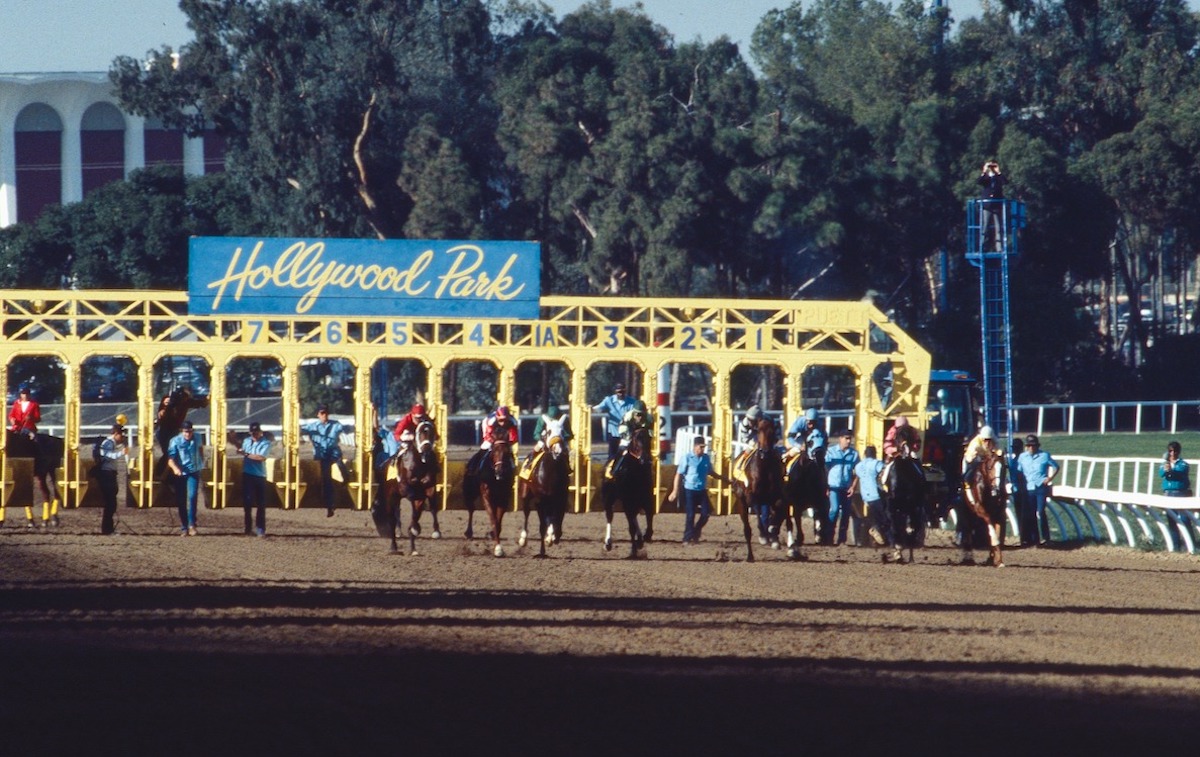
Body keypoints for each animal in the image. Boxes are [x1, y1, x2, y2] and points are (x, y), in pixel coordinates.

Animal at [372, 419, 444, 556]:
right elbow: (412, 493)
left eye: (432, 431)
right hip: (391, 497)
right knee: (392, 520)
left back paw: (413, 548)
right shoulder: (405, 487)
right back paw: (393, 547)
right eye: (419, 432)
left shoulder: (429, 487)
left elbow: (424, 507)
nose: (426, 448)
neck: (421, 462)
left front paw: (426, 530)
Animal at [600, 429, 657, 559]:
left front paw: (647, 535)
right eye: (636, 440)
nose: (645, 459)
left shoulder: (647, 500)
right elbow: (631, 528)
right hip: (608, 498)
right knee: (610, 516)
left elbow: (649, 517)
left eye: (649, 439)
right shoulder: (627, 502)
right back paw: (608, 543)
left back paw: (640, 540)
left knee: (634, 517)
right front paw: (633, 551)